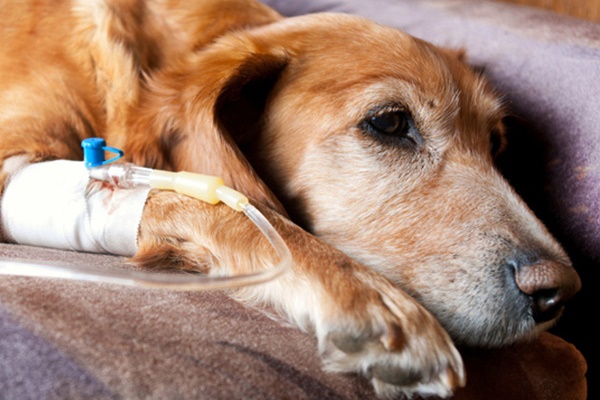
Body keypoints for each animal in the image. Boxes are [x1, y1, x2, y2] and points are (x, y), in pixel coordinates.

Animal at [0, 0, 580, 396]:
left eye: (495, 144)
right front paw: (372, 301)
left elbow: (569, 359)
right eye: (390, 123)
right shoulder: (13, 163)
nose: (559, 294)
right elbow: (235, 209)